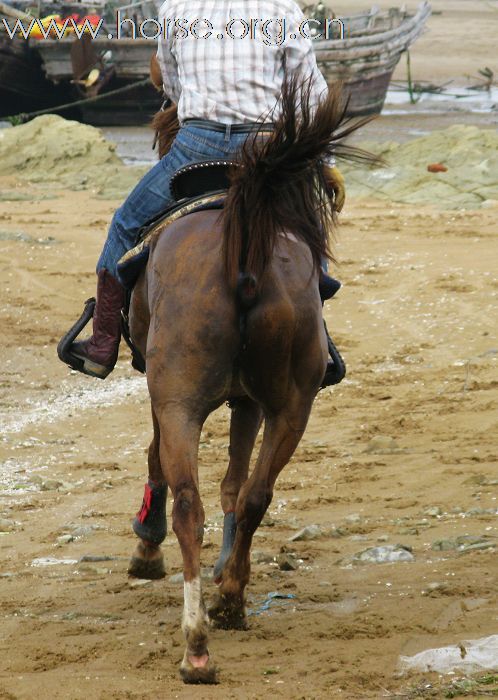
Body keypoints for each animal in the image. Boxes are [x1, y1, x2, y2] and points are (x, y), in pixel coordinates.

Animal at [127, 78, 374, 684]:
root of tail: (240, 252)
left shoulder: (159, 390)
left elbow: (158, 459)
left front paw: (147, 549)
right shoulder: (249, 402)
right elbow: (236, 483)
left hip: (179, 400)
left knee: (188, 503)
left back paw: (196, 644)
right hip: (293, 404)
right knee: (259, 493)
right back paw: (231, 601)